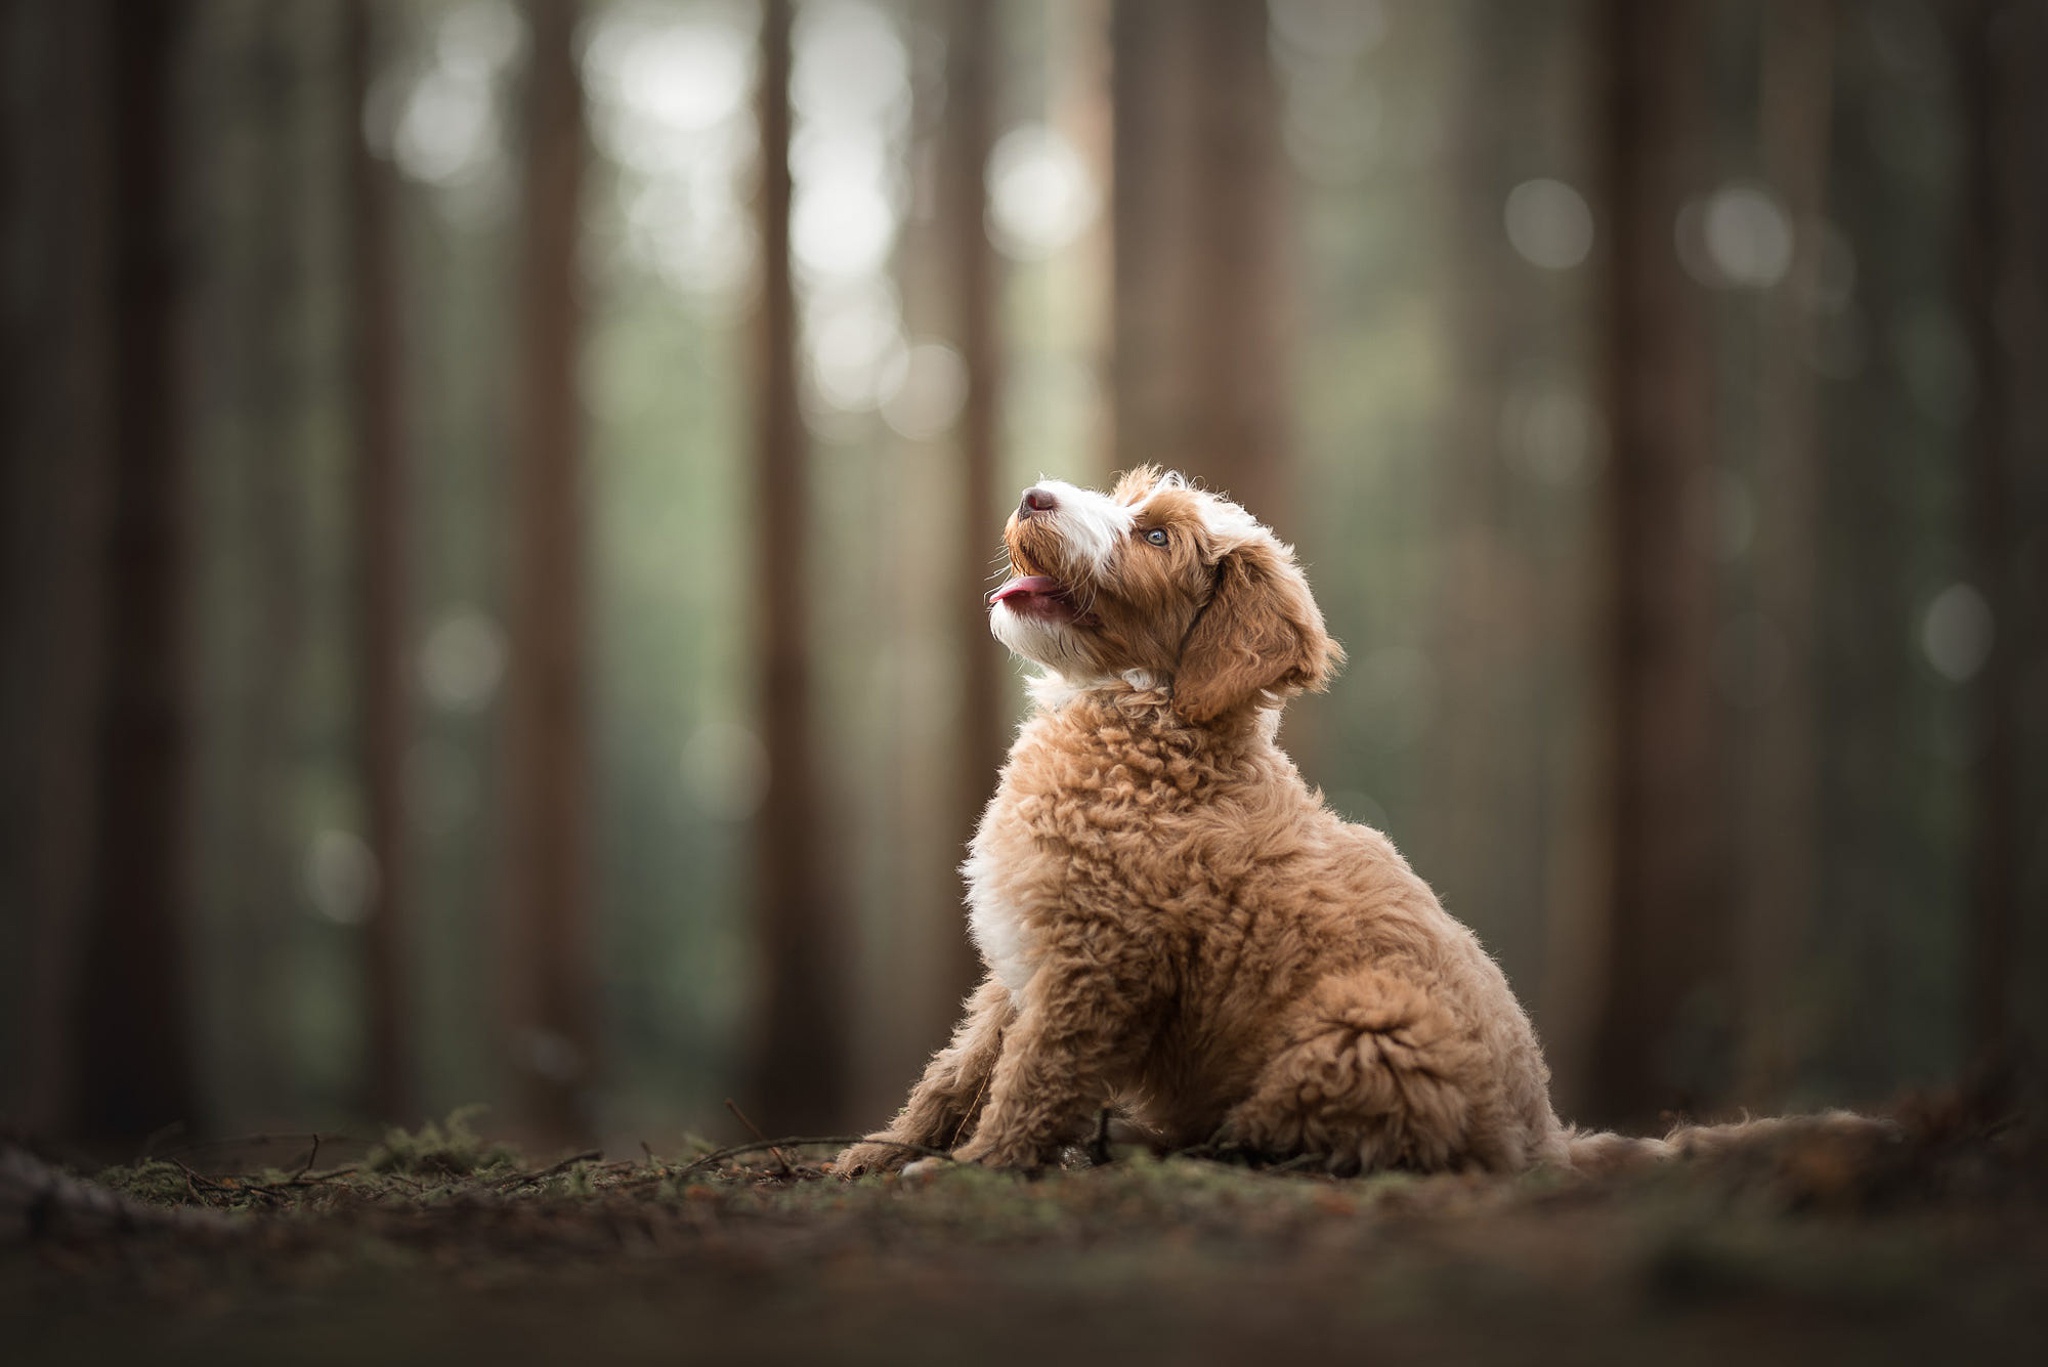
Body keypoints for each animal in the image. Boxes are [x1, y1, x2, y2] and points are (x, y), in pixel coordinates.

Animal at [831, 471, 1630, 1180]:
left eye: (1155, 536)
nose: (1033, 496)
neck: (1153, 723)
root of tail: (1542, 1136)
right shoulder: (1029, 944)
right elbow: (960, 1067)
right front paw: (879, 1154)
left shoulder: (1098, 960)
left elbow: (1035, 1073)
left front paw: (980, 1164)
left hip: (1366, 1033)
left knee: (1289, 1134)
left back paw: (1150, 1141)